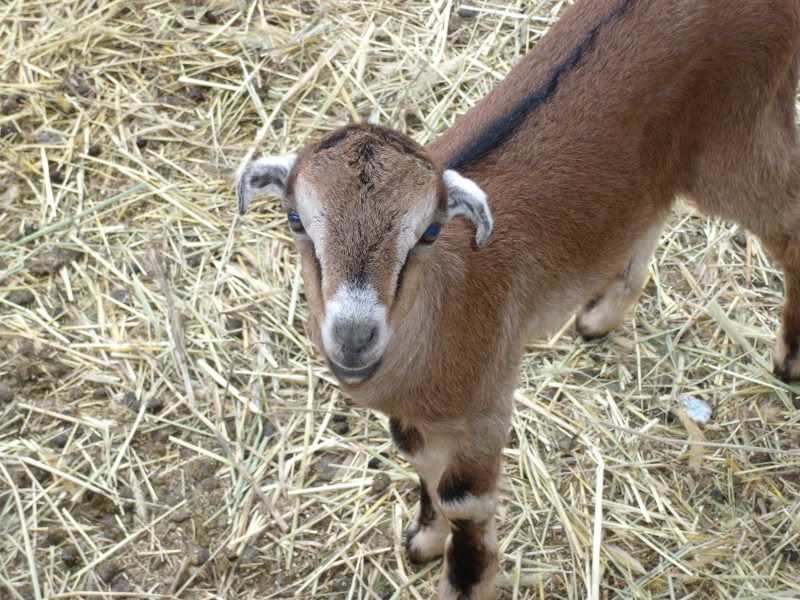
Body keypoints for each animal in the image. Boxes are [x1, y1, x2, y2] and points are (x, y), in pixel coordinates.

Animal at [237, 0, 800, 597]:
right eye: (296, 220)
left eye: (428, 232)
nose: (353, 337)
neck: (445, 302)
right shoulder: (419, 415)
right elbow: (419, 460)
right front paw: (423, 541)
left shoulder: (485, 406)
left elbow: (463, 499)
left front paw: (463, 578)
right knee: (652, 212)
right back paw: (601, 316)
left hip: (742, 141)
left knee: (790, 225)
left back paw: (789, 358)